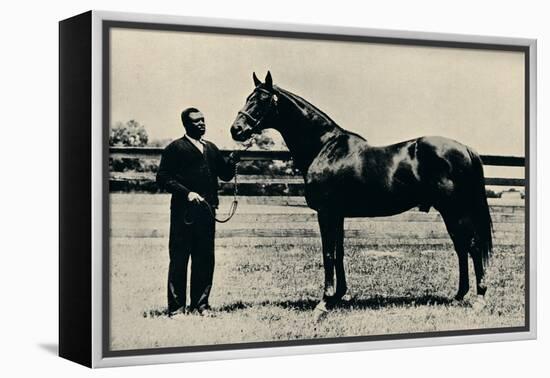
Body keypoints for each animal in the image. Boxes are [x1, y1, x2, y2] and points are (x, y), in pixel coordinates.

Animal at [231, 71, 494, 316]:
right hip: (450, 211)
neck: (325, 148)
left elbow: (328, 253)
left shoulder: (326, 212)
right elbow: (339, 252)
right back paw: (459, 295)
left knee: (472, 246)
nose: (236, 129)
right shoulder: (337, 214)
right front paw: (339, 295)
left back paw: (479, 299)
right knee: (461, 247)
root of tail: (465, 149)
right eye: (247, 98)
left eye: (262, 100)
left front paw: (323, 303)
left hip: (455, 210)